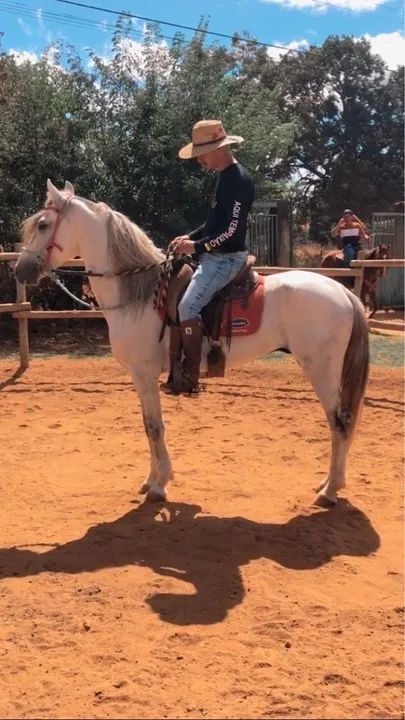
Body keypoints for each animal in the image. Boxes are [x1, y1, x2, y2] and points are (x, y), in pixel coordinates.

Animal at [15, 180, 369, 507]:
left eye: (43, 224)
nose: (20, 270)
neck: (140, 294)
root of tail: (343, 292)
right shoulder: (139, 376)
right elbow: (147, 424)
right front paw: (151, 479)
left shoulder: (144, 373)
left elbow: (155, 426)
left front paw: (159, 486)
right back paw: (328, 482)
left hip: (321, 370)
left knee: (340, 422)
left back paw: (330, 490)